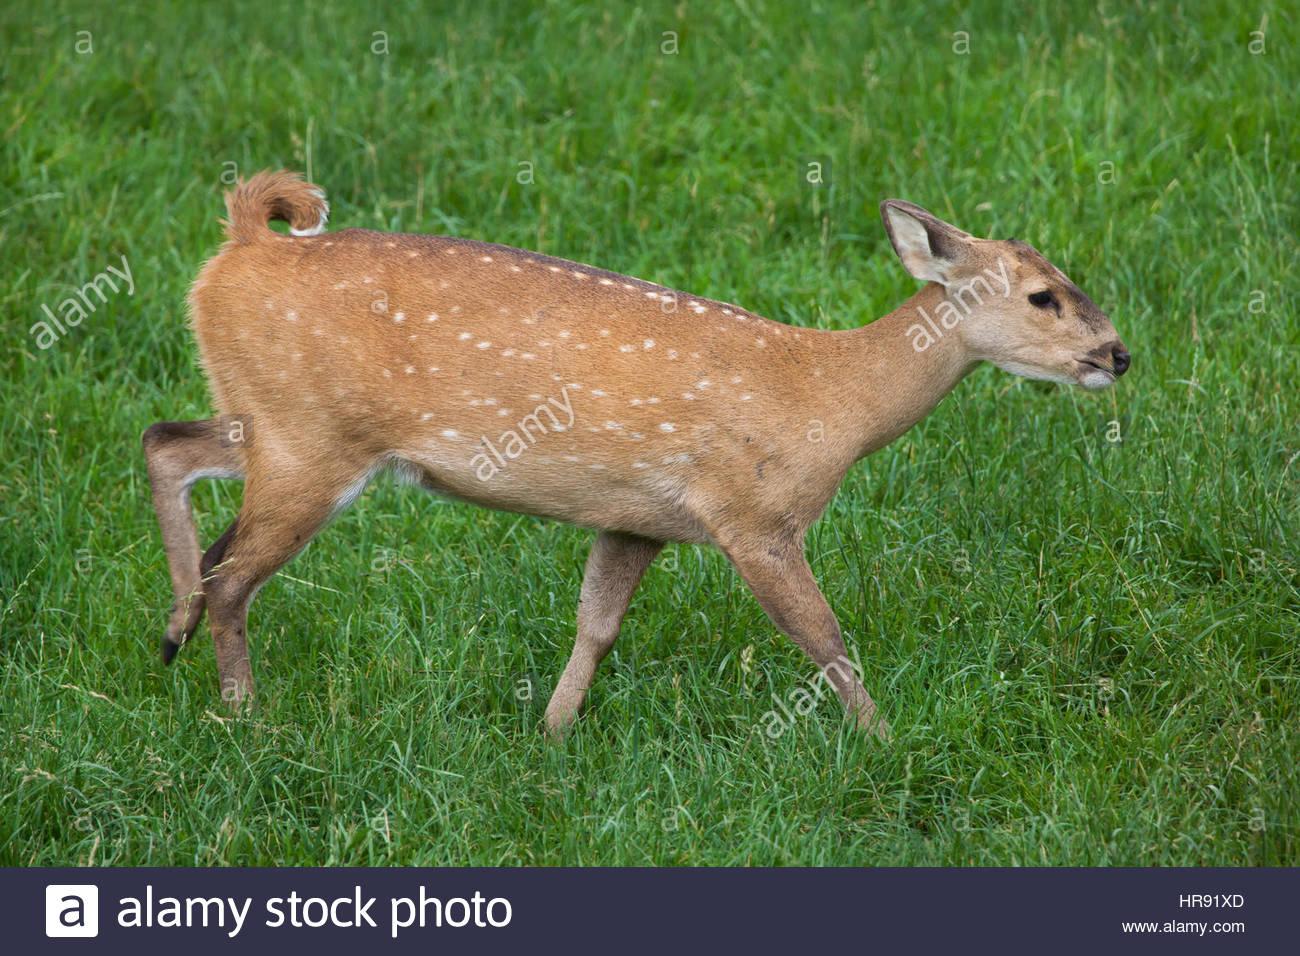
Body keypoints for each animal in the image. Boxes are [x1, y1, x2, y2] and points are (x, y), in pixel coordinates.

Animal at [144, 171, 1128, 738]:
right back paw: (243, 715)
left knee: (168, 449)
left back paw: (170, 633)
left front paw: (552, 734)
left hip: (270, 422)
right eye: (1044, 295)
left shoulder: (636, 517)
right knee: (232, 571)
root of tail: (241, 246)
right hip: (311, 439)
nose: (1117, 353)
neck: (829, 398)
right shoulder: (754, 515)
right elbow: (824, 634)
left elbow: (597, 624)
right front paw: (884, 740)